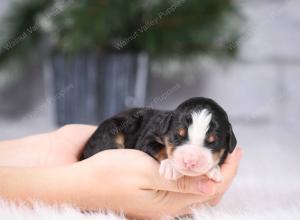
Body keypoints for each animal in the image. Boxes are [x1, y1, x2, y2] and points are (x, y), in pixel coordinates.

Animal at [80, 97, 237, 181]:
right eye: (178, 135)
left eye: (213, 141)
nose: (190, 161)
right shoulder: (148, 136)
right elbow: (159, 147)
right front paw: (170, 166)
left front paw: (214, 170)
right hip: (111, 130)